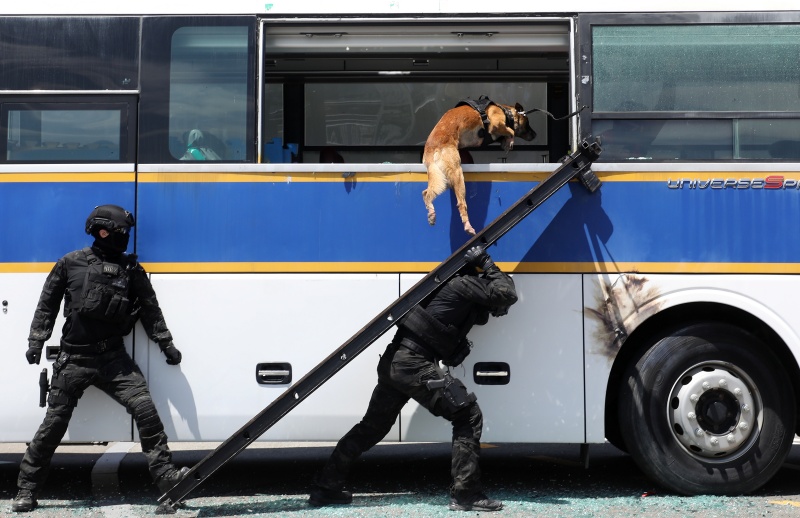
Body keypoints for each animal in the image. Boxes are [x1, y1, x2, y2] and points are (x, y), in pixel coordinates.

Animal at [418, 97, 536, 236]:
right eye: (527, 123)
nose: (535, 135)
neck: (505, 111)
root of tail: (432, 147)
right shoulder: (496, 123)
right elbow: (511, 131)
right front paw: (510, 142)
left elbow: (506, 134)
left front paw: (506, 142)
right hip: (457, 174)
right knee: (461, 203)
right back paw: (467, 226)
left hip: (442, 177)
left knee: (426, 193)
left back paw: (431, 214)